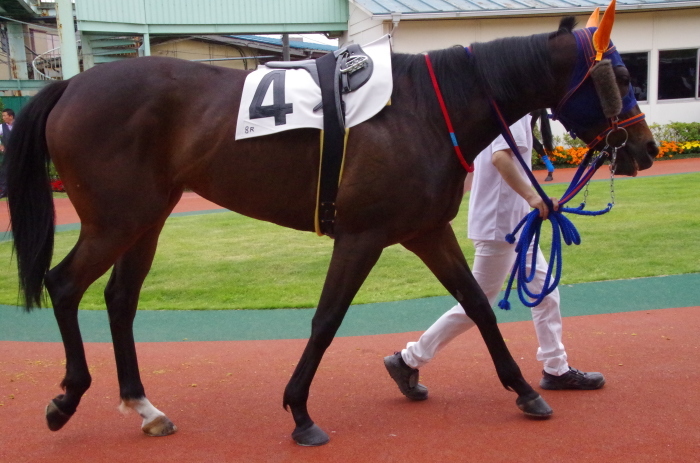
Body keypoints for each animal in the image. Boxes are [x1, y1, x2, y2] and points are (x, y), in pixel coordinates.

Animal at [5, 13, 656, 446]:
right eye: (622, 77)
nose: (646, 149)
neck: (427, 108)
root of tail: (70, 83)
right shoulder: (362, 236)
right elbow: (327, 318)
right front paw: (299, 412)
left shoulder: (425, 230)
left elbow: (476, 304)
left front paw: (523, 389)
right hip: (117, 218)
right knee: (65, 285)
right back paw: (66, 399)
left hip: (148, 217)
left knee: (119, 299)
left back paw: (144, 406)